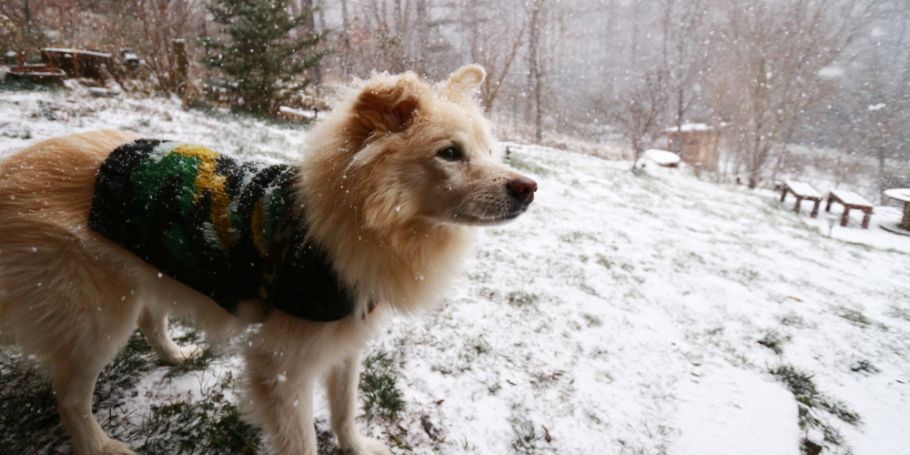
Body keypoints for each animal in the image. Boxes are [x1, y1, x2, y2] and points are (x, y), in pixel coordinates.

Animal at [0, 65, 536, 455]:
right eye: (450, 153)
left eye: (490, 150)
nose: (529, 189)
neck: (350, 222)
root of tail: (11, 170)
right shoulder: (281, 367)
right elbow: (301, 441)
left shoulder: (346, 338)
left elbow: (345, 408)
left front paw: (358, 446)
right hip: (97, 316)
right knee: (70, 398)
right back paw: (100, 446)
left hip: (142, 276)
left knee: (151, 319)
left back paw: (174, 355)